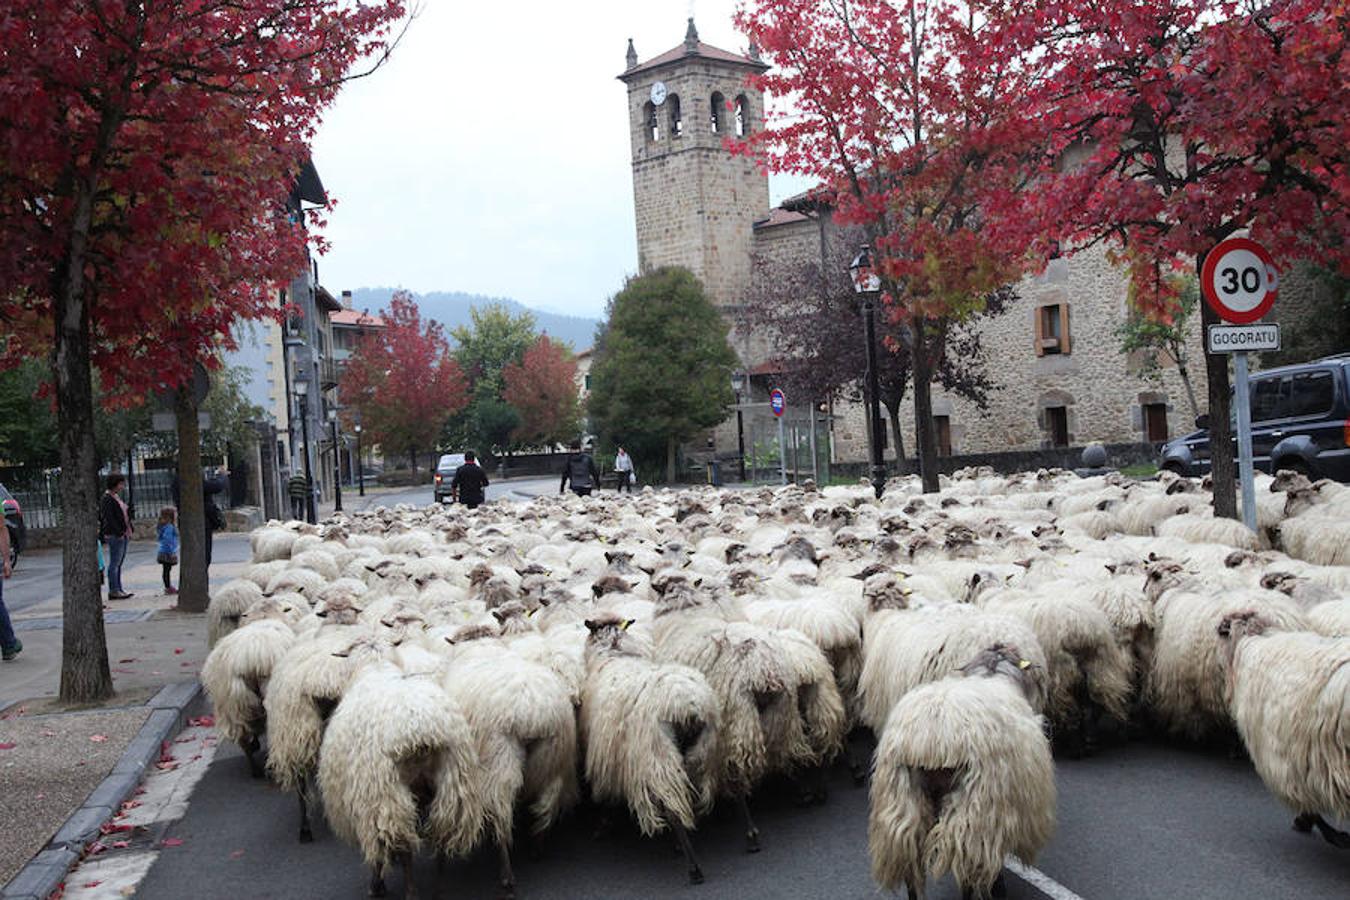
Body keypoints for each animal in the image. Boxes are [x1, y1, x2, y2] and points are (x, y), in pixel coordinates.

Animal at [315, 655, 486, 900]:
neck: (375, 666)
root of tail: (419, 730)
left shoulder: (369, 806)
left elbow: (379, 849)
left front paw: (377, 884)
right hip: (452, 788)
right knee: (442, 834)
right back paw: (439, 885)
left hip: (388, 794)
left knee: (405, 847)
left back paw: (408, 891)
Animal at [864, 644, 1053, 895]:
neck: (993, 674)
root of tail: (929, 738)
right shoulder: (997, 818)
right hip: (973, 808)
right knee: (967, 874)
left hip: (901, 803)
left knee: (912, 872)